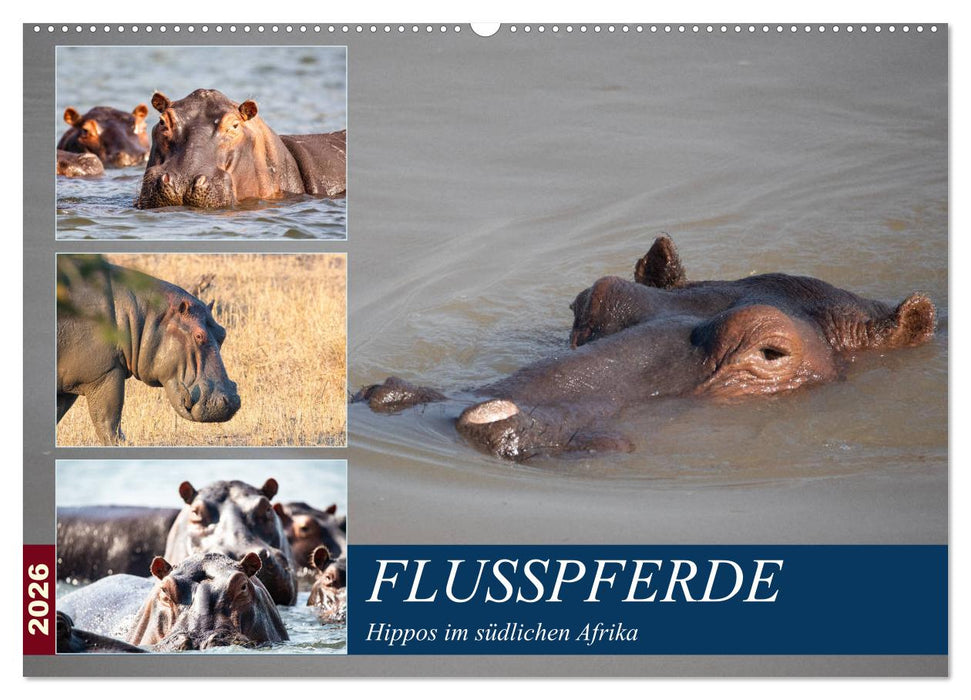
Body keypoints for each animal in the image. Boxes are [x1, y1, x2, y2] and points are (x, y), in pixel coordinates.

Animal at [56, 255, 241, 445]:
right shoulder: (104, 374)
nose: (230, 401)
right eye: (198, 335)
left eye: (223, 332)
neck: (138, 315)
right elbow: (109, 424)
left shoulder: (69, 386)